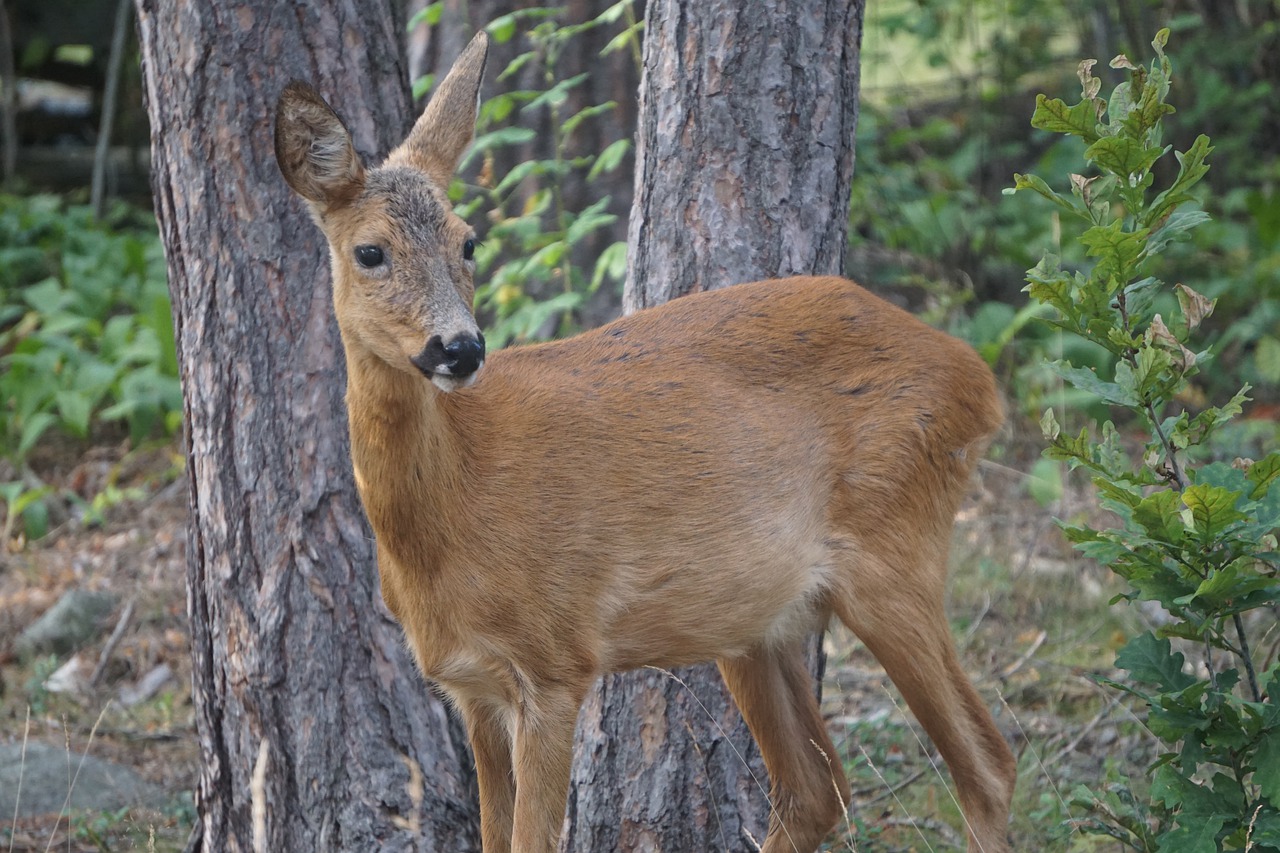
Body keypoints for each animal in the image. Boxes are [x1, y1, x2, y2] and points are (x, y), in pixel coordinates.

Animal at [275, 31, 1013, 850]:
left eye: (468, 241)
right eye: (369, 252)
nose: (460, 349)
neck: (450, 516)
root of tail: (978, 379)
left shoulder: (556, 660)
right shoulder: (471, 685)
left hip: (894, 552)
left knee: (987, 766)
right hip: (752, 622)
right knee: (817, 790)